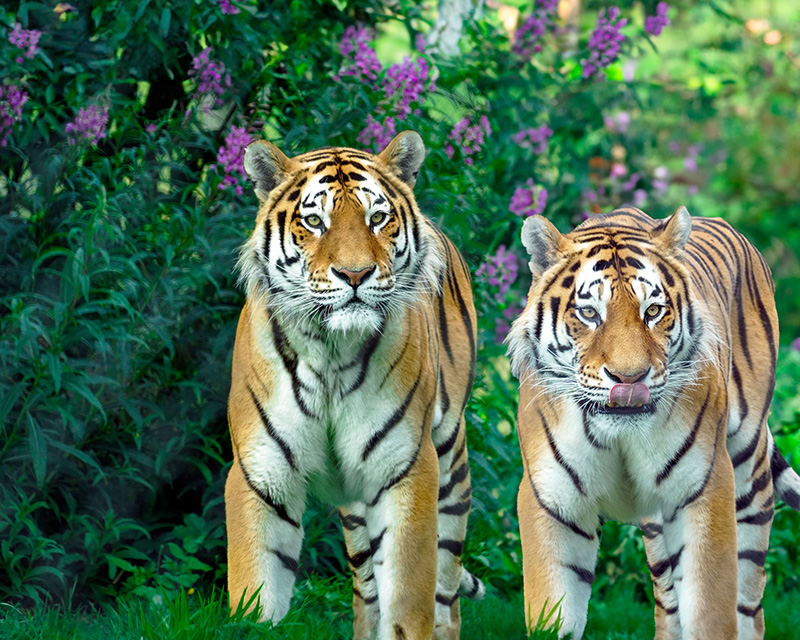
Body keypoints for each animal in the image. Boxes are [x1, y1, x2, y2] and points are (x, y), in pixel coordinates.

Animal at [225, 130, 485, 640]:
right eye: (314, 221)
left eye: (377, 218)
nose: (355, 274)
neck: (329, 349)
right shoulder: (259, 472)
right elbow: (255, 589)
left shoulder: (405, 469)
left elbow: (407, 599)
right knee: (366, 587)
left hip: (451, 465)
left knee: (445, 590)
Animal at [505, 206, 800, 639]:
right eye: (589, 313)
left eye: (653, 312)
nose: (629, 379)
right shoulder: (554, 502)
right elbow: (553, 612)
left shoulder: (702, 489)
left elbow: (709, 611)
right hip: (658, 524)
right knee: (667, 600)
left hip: (748, 471)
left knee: (748, 595)